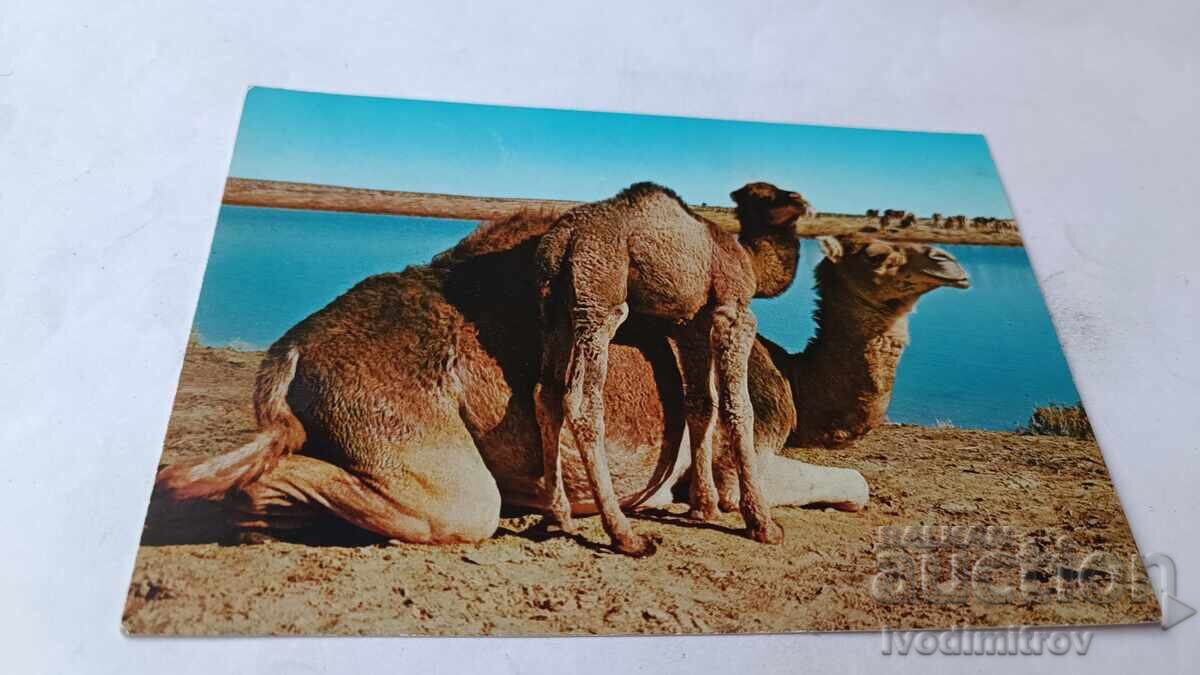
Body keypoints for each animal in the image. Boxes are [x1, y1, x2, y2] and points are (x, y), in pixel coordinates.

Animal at [532, 182, 811, 555]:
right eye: (767, 197)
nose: (800, 199)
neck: (747, 259)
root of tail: (564, 240)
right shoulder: (734, 311)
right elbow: (740, 408)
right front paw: (762, 523)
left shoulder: (690, 322)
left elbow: (702, 404)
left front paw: (704, 507)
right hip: (599, 298)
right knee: (581, 405)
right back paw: (626, 535)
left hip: (555, 307)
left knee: (546, 395)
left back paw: (558, 515)